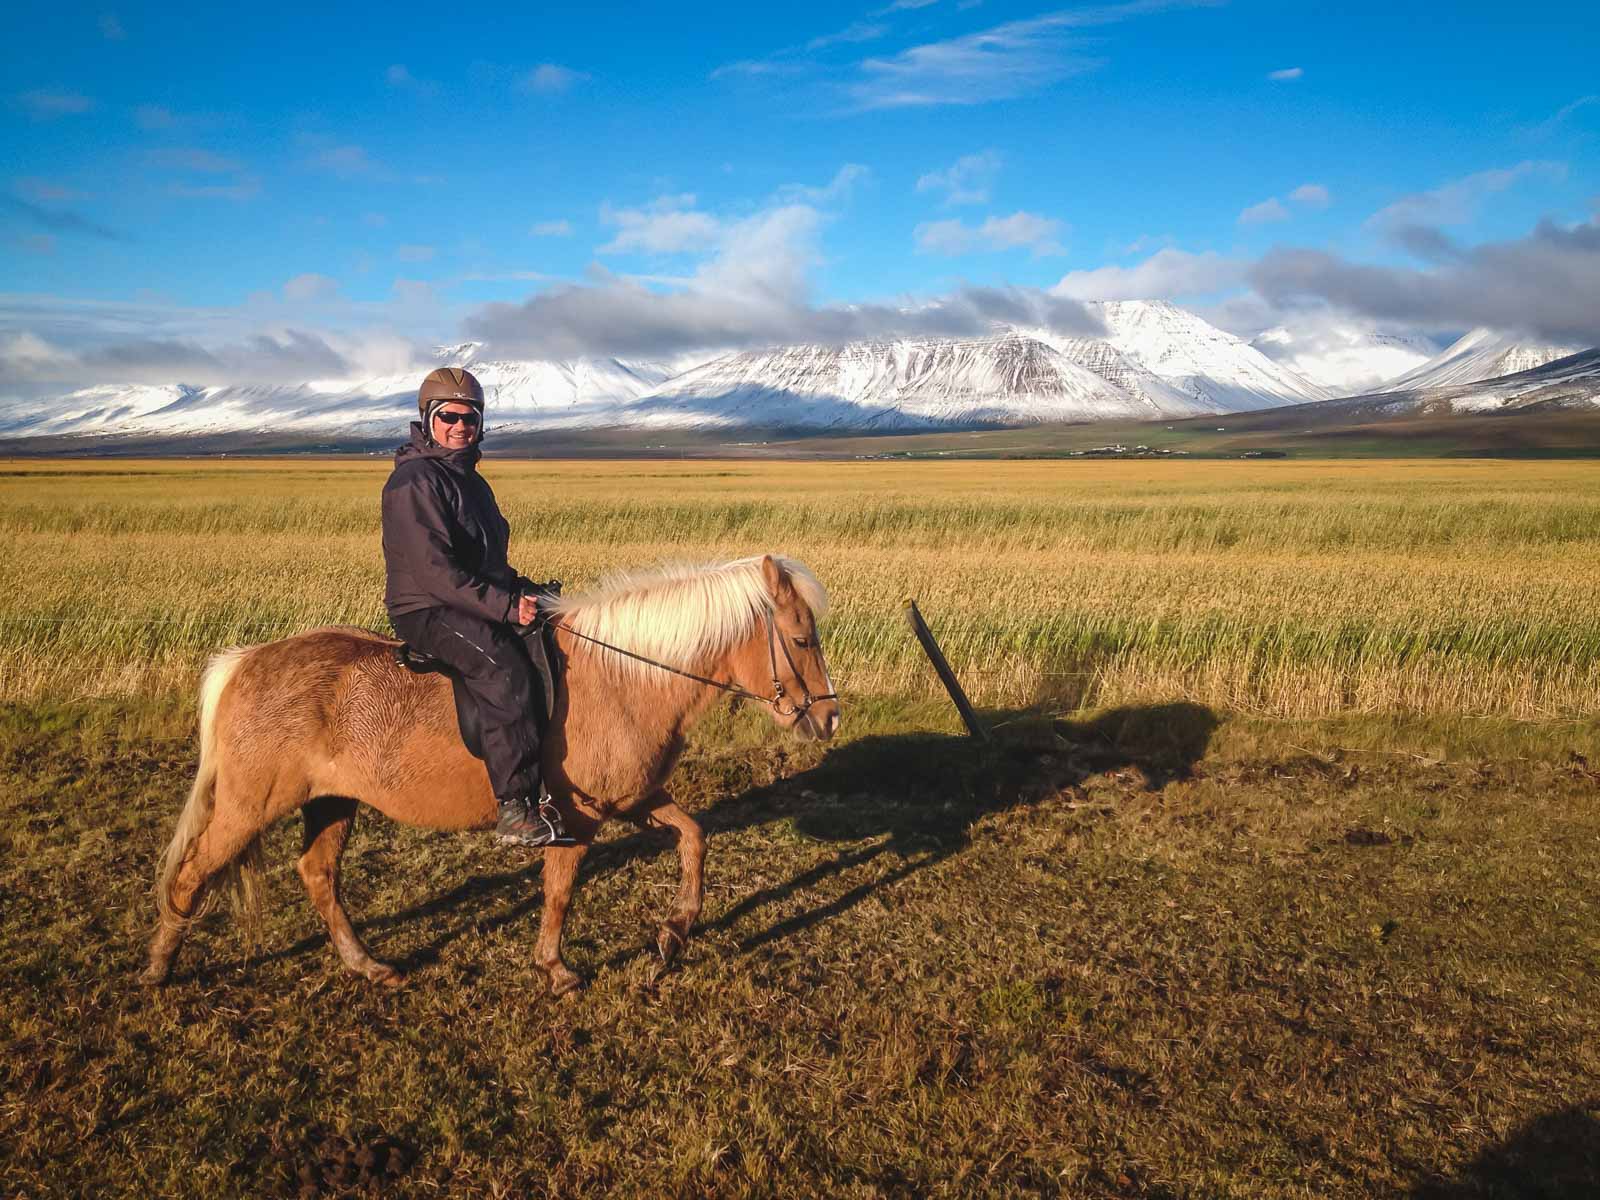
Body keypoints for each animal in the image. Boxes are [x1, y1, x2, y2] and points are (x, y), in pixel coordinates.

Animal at [140, 553, 838, 998]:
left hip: (331, 802)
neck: (624, 678)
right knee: (192, 875)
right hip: (249, 806)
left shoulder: (636, 798)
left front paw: (674, 932)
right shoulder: (574, 817)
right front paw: (556, 970)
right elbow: (559, 891)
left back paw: (368, 967)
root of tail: (245, 662)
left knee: (317, 875)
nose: (829, 718)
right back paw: (159, 968)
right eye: (803, 639)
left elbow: (695, 838)